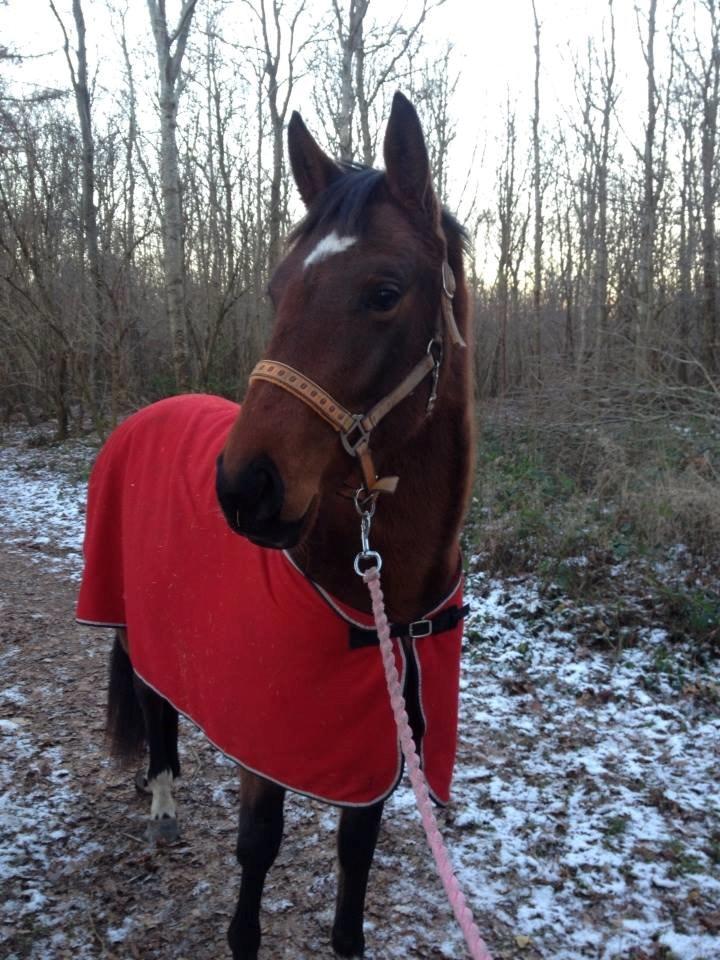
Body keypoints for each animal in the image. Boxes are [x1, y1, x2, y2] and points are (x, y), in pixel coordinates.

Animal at [77, 92, 472, 960]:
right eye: (276, 289)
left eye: (385, 291)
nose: (243, 489)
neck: (375, 593)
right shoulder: (267, 740)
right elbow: (258, 848)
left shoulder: (377, 736)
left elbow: (355, 854)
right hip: (135, 616)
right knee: (155, 701)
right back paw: (163, 803)